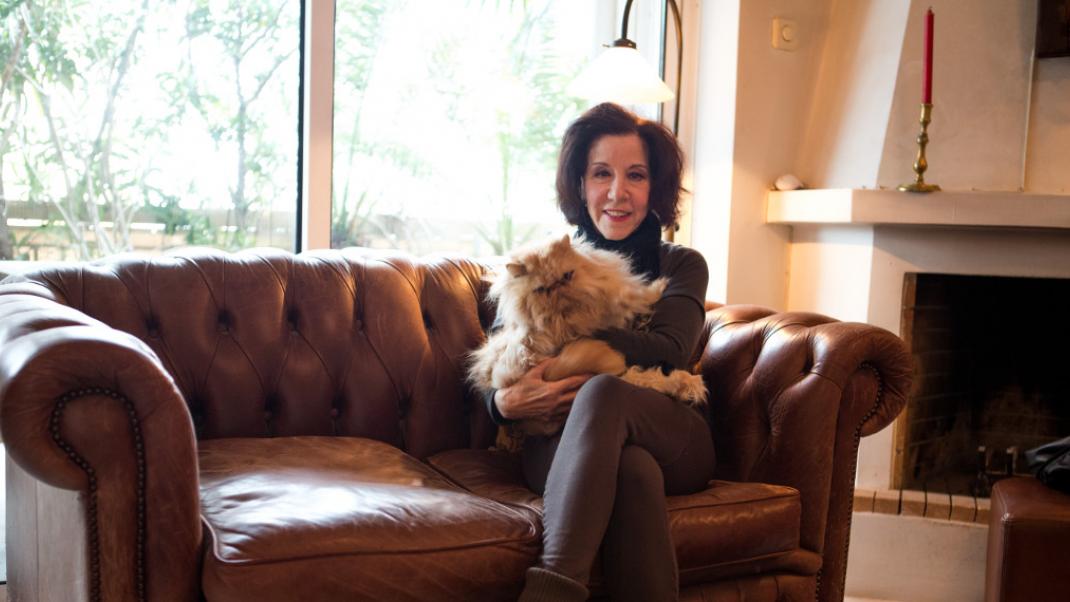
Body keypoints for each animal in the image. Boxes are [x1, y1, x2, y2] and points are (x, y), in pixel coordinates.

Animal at [468, 234, 706, 449]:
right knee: (648, 379)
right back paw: (689, 385)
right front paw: (654, 291)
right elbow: (629, 300)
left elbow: (632, 297)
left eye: (567, 275)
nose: (557, 287)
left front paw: (653, 294)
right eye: (541, 289)